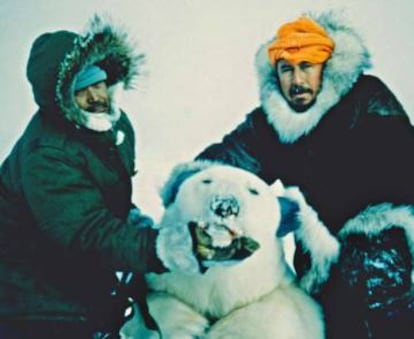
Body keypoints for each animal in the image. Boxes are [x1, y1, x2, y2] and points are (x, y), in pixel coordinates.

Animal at [120, 163, 340, 338]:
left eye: (254, 191)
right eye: (206, 180)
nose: (225, 205)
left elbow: (269, 317)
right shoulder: (168, 281)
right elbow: (149, 302)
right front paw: (188, 326)